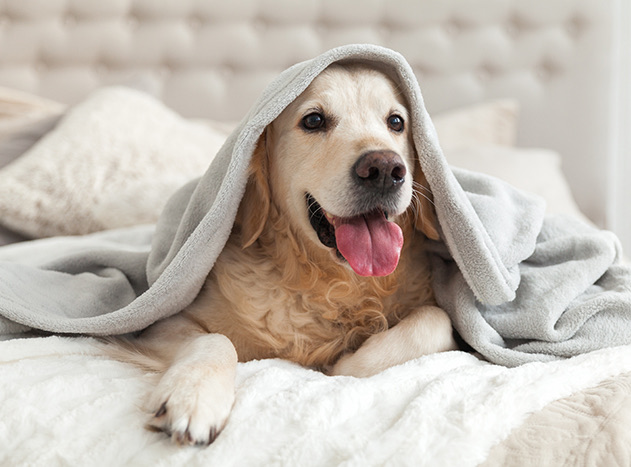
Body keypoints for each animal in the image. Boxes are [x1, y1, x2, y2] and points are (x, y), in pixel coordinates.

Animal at [115, 63, 460, 446]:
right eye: (314, 120)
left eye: (396, 122)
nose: (384, 169)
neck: (330, 283)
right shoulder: (157, 325)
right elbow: (214, 338)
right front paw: (192, 395)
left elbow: (436, 319)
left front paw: (348, 363)